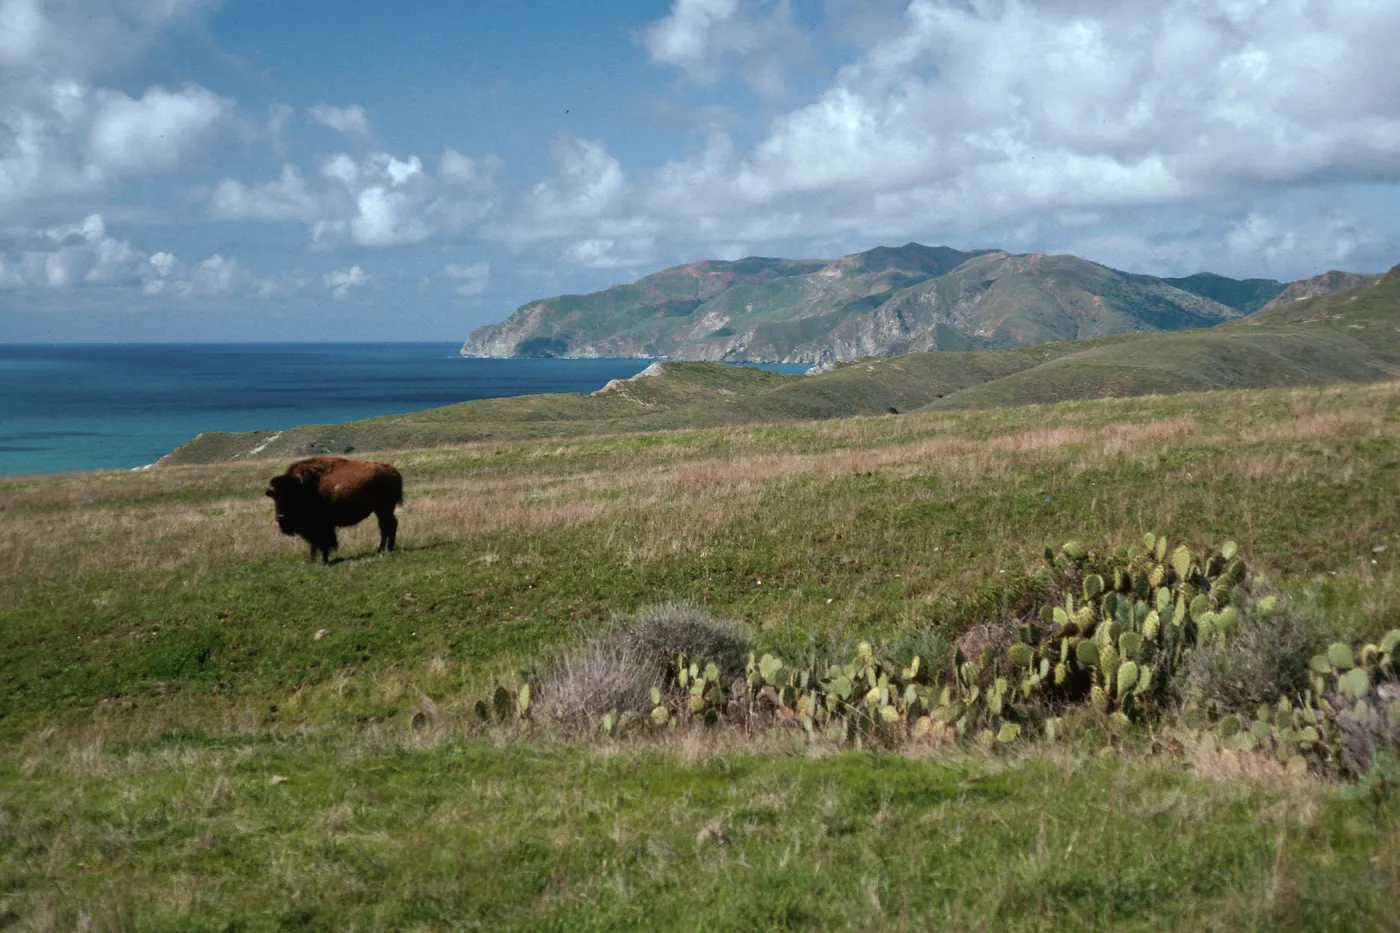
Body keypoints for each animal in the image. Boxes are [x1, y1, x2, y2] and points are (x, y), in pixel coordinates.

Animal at [265, 456, 403, 563]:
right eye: (275, 496)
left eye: (291, 495)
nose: (280, 517)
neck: (306, 488)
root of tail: (392, 470)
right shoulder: (312, 528)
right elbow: (313, 544)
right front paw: (312, 561)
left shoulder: (323, 526)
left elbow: (325, 542)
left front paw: (324, 561)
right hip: (381, 510)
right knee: (389, 525)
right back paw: (386, 548)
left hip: (384, 508)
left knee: (387, 526)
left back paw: (383, 549)